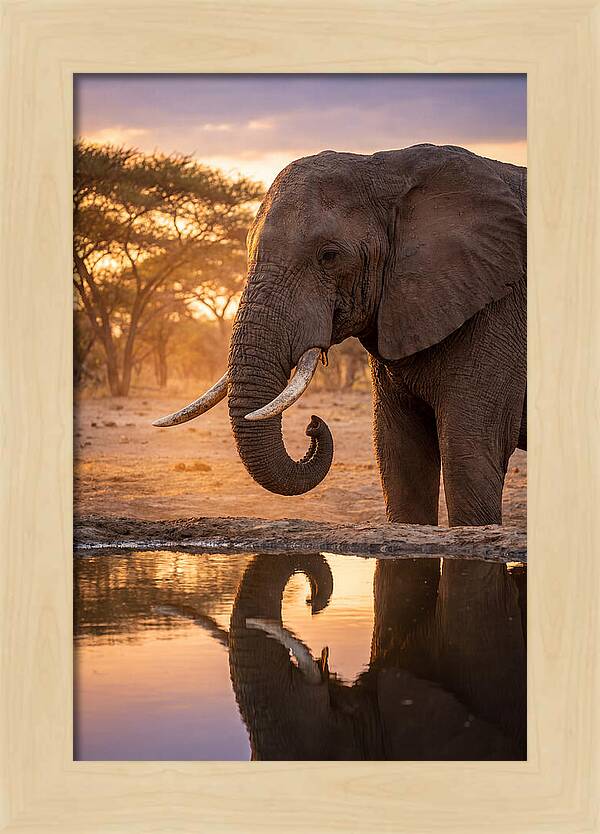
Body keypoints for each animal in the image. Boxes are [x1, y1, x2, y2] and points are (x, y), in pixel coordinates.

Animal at [155, 144, 527, 526]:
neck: (389, 168)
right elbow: (399, 454)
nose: (313, 424)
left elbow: (469, 452)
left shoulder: (498, 310)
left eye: (329, 256)